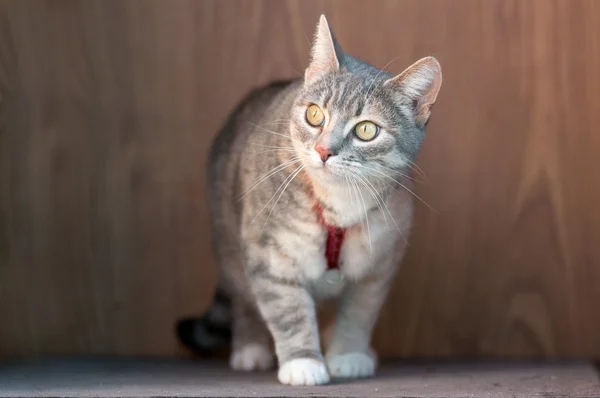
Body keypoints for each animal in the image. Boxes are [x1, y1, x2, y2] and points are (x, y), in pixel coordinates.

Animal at [176, 15, 442, 386]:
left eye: (366, 130)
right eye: (315, 115)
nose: (323, 150)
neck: (337, 203)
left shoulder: (379, 265)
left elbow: (359, 313)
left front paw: (348, 353)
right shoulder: (269, 255)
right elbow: (287, 309)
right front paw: (302, 361)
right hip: (229, 242)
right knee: (243, 298)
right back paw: (251, 347)